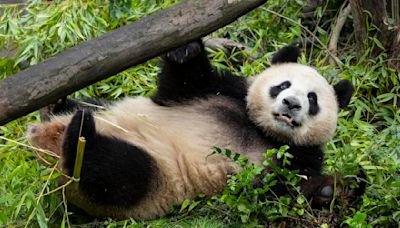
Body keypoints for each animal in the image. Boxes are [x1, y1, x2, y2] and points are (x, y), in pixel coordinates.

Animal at [26, 40, 354, 220]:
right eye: (283, 85)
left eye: (312, 99)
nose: (291, 103)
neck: (262, 130)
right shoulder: (223, 92)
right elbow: (182, 83)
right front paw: (186, 49)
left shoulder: (299, 157)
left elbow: (278, 192)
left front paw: (332, 189)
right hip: (105, 111)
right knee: (88, 108)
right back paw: (56, 107)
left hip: (154, 181)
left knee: (116, 172)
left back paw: (79, 138)